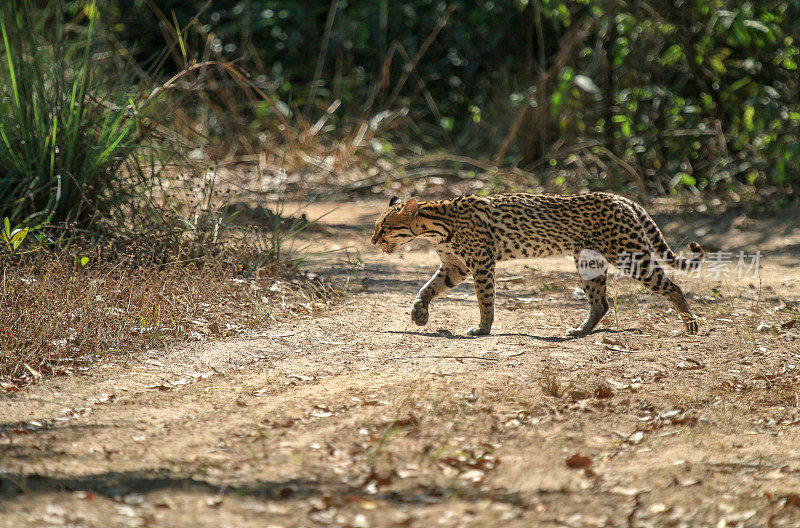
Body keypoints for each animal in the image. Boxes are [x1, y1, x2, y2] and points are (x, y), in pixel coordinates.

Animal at [372, 192, 704, 336]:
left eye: (385, 228)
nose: (373, 240)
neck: (434, 226)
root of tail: (624, 198)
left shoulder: (481, 263)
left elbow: (485, 300)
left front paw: (482, 328)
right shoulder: (456, 266)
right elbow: (427, 288)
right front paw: (419, 314)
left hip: (628, 253)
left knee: (672, 286)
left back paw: (691, 324)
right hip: (589, 260)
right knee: (601, 302)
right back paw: (580, 330)